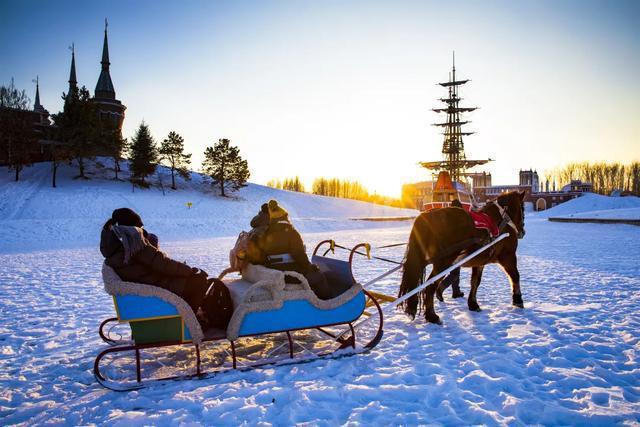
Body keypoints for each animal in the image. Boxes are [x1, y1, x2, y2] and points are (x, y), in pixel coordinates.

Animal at [398, 191, 528, 324]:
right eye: (522, 207)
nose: (522, 231)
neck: (502, 219)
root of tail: (426, 215)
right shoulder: (508, 256)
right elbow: (515, 276)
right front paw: (518, 300)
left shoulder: (479, 262)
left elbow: (475, 282)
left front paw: (473, 304)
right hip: (443, 262)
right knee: (430, 286)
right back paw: (432, 316)